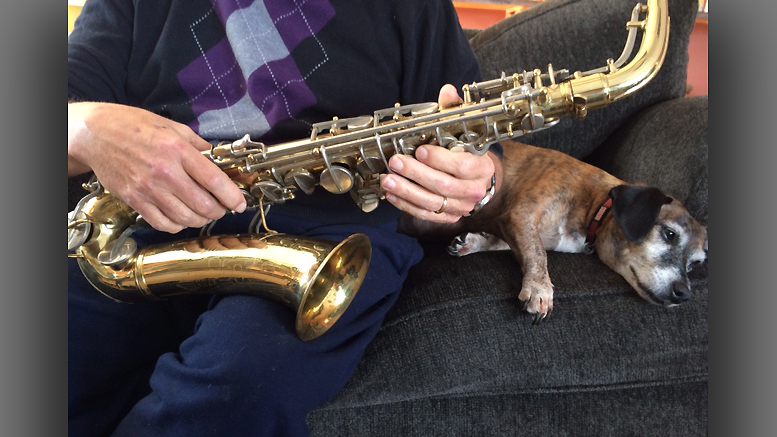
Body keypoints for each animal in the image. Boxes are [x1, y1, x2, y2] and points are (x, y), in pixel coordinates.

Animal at [400, 140, 708, 324]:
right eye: (669, 234)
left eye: (695, 265)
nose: (684, 294)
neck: (596, 205)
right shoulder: (521, 214)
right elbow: (537, 252)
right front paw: (540, 289)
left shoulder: (513, 224)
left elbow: (514, 244)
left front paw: (472, 242)